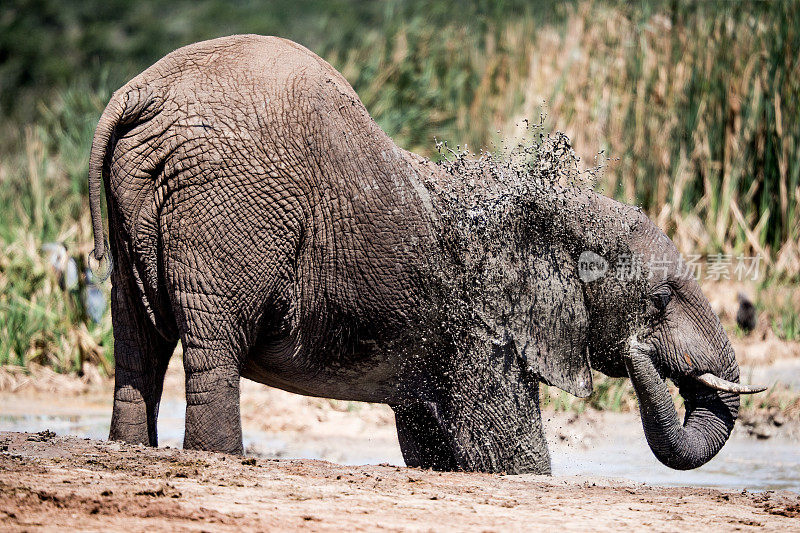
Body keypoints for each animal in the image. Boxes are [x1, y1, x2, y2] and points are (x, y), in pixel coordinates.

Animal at [87, 34, 764, 474]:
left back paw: (129, 451)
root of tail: (145, 92)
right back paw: (220, 458)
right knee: (213, 341)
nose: (641, 350)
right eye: (659, 299)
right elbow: (514, 458)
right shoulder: (488, 327)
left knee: (137, 338)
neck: (553, 209)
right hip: (231, 205)